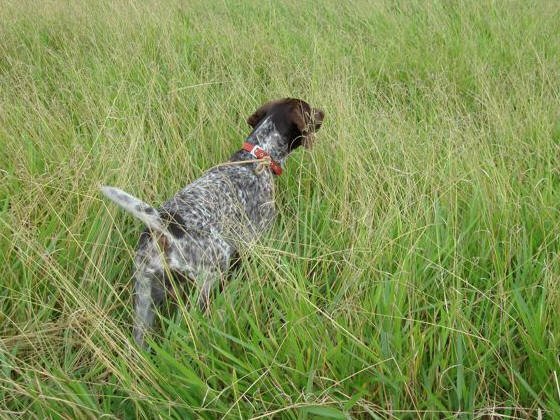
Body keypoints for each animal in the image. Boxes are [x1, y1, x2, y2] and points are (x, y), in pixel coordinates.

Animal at [101, 98, 324, 346]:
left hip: (143, 301)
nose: (323, 113)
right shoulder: (257, 243)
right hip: (210, 273)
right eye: (309, 110)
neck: (257, 156)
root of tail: (164, 226)